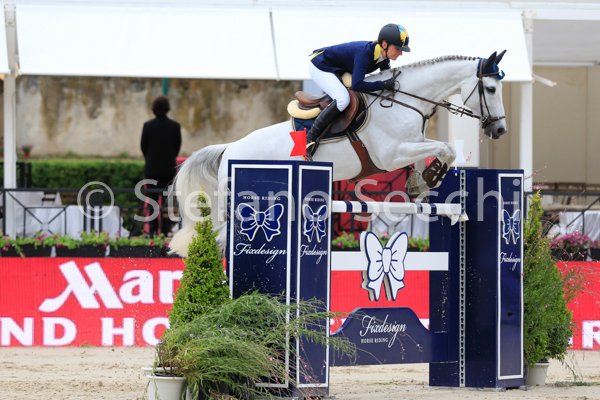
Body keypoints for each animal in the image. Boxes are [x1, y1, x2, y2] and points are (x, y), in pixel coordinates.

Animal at [170, 51, 508, 257]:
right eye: (491, 89)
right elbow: (444, 147)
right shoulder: (390, 154)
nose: (500, 130)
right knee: (220, 241)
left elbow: (434, 151)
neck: (406, 100)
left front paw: (418, 182)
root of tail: (229, 149)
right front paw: (429, 177)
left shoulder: (409, 144)